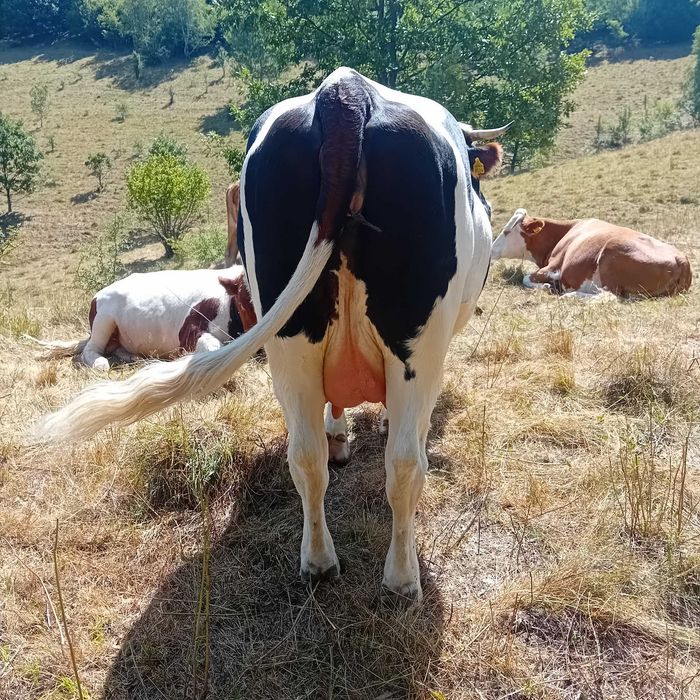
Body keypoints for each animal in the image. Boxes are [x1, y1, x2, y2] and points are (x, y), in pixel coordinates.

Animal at [35, 68, 505, 601]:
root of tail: (346, 92)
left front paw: (338, 435)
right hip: (415, 348)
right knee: (404, 464)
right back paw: (401, 580)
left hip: (289, 342)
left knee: (306, 457)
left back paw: (318, 561)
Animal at [491, 209, 692, 297]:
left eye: (506, 231)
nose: (491, 250)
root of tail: (681, 259)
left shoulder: (553, 266)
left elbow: (526, 278)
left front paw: (549, 287)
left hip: (610, 255)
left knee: (608, 296)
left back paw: (569, 295)